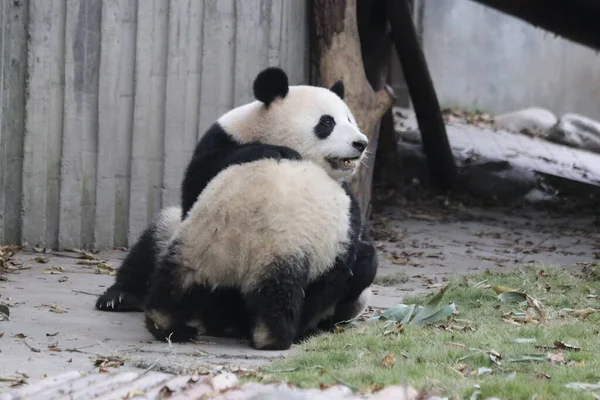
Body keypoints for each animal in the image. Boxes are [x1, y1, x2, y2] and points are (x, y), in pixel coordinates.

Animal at [141, 66, 378, 350]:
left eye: (350, 119)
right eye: (327, 123)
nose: (361, 143)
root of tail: (238, 256)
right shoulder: (223, 142)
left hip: (193, 251)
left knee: (175, 285)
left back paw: (171, 323)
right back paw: (283, 334)